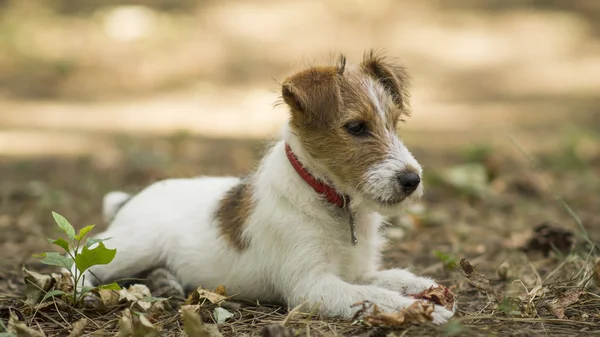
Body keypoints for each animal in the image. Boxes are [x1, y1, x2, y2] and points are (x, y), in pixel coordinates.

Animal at [81, 51, 454, 322]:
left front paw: (426, 286)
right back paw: (84, 291)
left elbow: (389, 279)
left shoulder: (356, 271)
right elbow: (378, 297)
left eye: (395, 123)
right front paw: (425, 310)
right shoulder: (311, 286)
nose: (412, 180)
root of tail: (130, 198)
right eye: (356, 127)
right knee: (84, 257)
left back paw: (166, 282)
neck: (330, 198)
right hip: (133, 245)